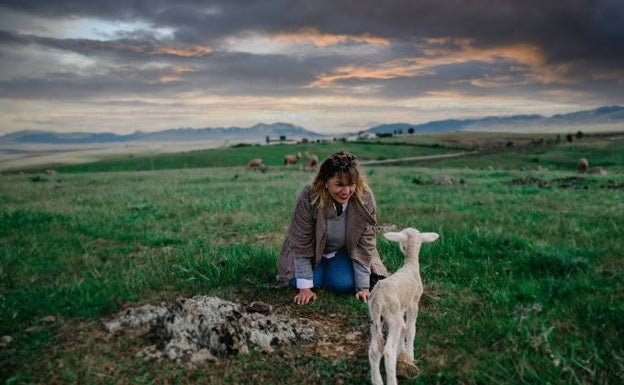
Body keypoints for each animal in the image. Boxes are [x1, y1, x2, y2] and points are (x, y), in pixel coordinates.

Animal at [370, 226, 438, 384]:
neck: (411, 264)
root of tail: (378, 298)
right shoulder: (413, 303)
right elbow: (411, 329)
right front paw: (410, 354)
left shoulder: (401, 307)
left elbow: (404, 329)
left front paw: (402, 351)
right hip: (392, 318)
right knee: (388, 351)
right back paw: (392, 379)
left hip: (375, 319)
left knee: (375, 350)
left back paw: (377, 381)